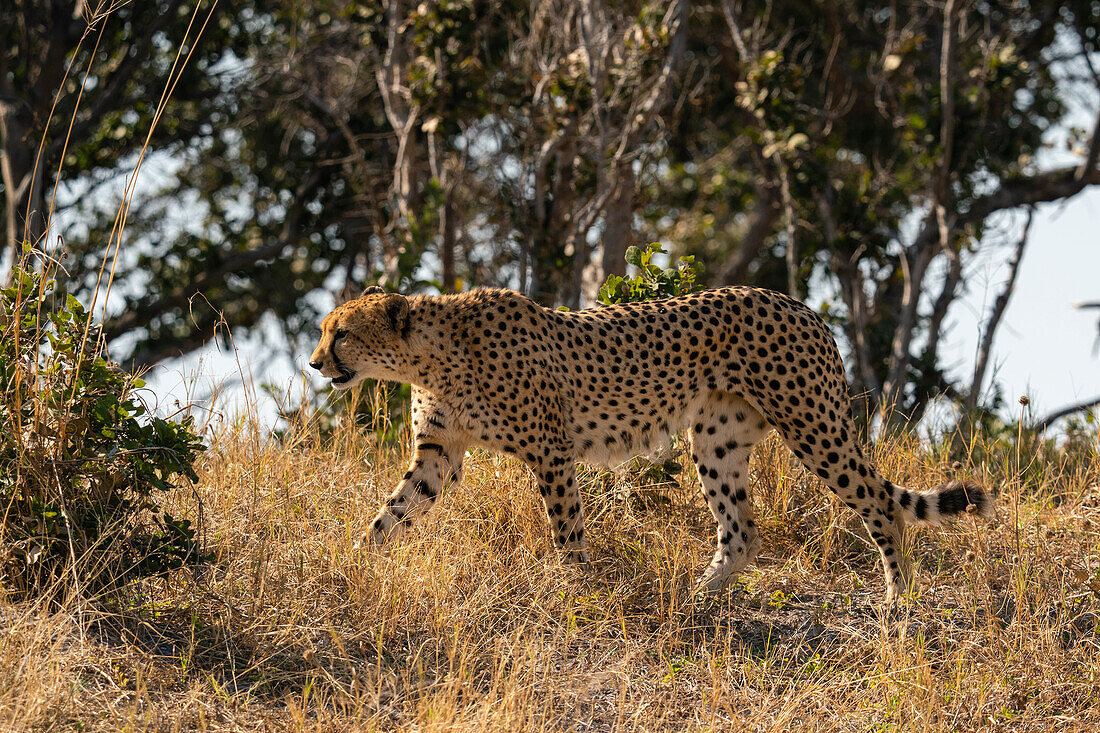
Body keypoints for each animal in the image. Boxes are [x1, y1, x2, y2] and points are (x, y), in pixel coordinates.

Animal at [305, 283, 994, 598]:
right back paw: (697, 596)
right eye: (324, 330)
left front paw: (575, 588)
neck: (430, 355)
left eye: (342, 335)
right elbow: (391, 512)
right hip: (716, 440)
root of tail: (802, 305)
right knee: (742, 532)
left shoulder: (551, 452)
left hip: (812, 425)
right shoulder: (438, 456)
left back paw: (898, 602)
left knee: (878, 503)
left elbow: (567, 528)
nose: (314, 363)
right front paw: (353, 561)